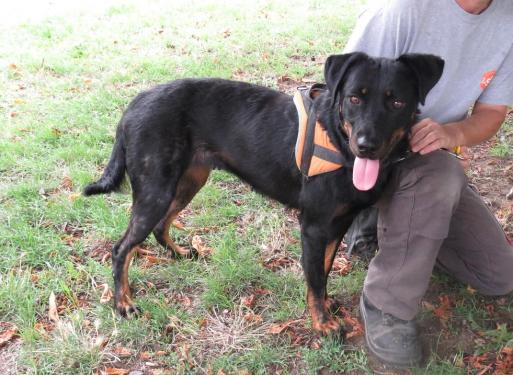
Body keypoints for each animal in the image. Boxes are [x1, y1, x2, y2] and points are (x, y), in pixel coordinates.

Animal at [85, 51, 444, 336]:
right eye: (355, 98)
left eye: (397, 102)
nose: (367, 146)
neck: (338, 140)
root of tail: (134, 105)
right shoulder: (313, 227)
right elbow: (316, 278)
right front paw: (322, 323)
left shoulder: (337, 224)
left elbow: (325, 269)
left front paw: (326, 306)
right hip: (156, 190)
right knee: (121, 249)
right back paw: (123, 303)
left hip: (188, 181)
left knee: (161, 226)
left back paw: (179, 254)